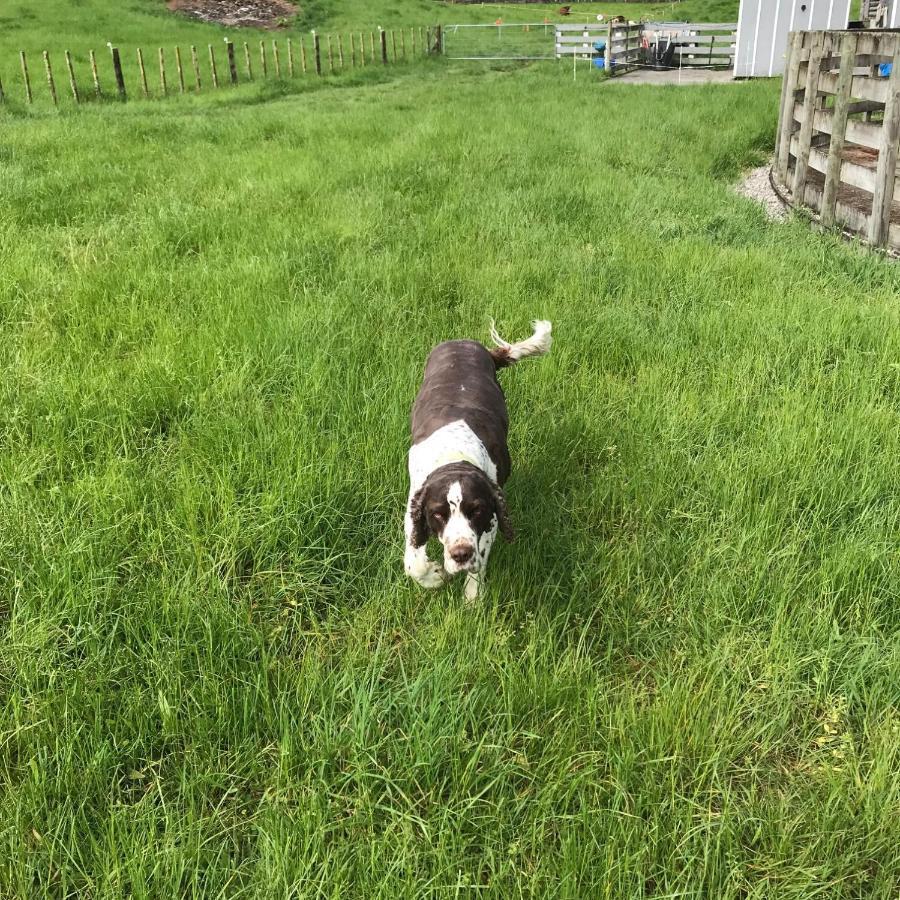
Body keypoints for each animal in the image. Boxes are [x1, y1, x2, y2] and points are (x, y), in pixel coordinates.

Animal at [404, 320, 552, 600]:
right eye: (438, 514)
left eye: (476, 510)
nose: (460, 554)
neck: (454, 454)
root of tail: (466, 342)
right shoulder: (414, 503)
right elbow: (413, 562)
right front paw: (435, 575)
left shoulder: (491, 515)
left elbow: (480, 555)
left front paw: (473, 595)